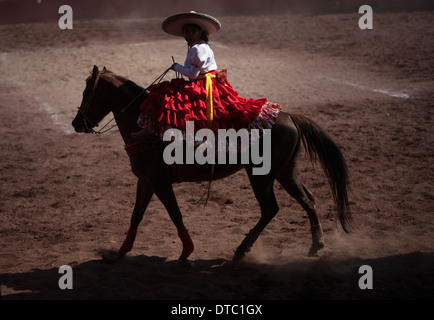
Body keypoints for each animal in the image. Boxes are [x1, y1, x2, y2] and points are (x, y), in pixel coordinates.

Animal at [70, 65, 350, 262]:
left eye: (86, 92)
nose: (76, 124)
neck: (143, 124)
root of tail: (290, 116)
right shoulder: (146, 181)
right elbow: (136, 216)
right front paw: (119, 252)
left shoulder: (160, 182)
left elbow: (175, 213)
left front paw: (187, 251)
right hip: (285, 172)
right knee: (307, 199)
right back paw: (316, 245)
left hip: (262, 176)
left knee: (270, 209)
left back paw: (241, 250)